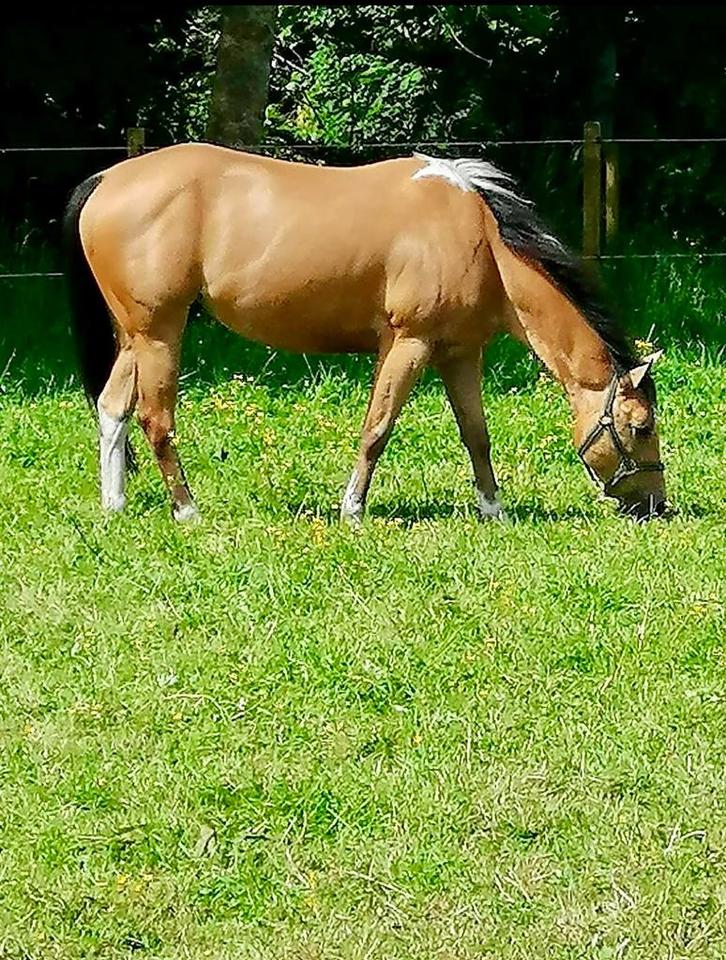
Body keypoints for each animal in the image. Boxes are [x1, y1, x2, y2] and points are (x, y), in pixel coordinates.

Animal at [63, 143, 666, 523]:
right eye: (640, 427)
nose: (656, 506)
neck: (480, 237)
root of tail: (107, 179)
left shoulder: (459, 353)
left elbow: (476, 433)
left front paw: (493, 509)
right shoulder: (408, 344)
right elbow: (377, 428)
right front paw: (352, 508)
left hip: (136, 334)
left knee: (113, 408)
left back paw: (114, 506)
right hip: (160, 332)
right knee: (155, 419)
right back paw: (187, 510)